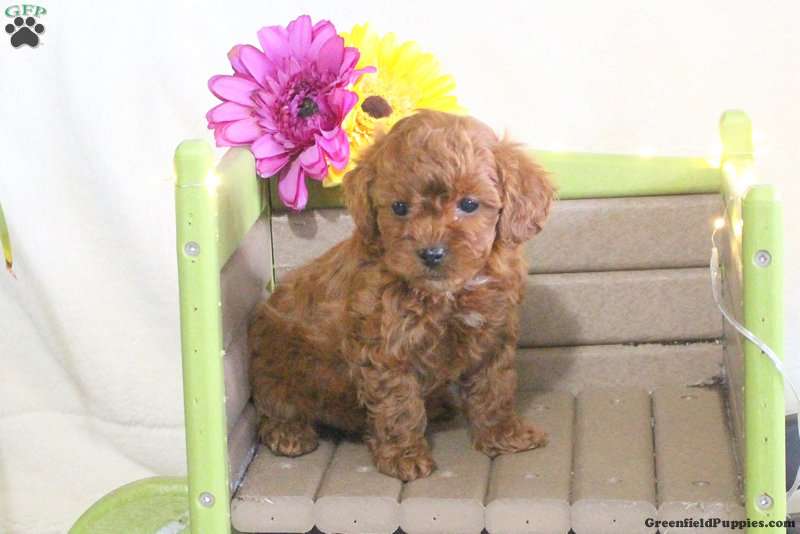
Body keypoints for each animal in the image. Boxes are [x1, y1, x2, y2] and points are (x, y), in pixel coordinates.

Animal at [250, 109, 556, 482]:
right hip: (279, 361)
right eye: (398, 207)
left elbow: (495, 387)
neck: (448, 292)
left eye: (469, 204)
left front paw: (504, 435)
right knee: (274, 404)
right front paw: (404, 457)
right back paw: (289, 432)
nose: (431, 253)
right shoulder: (386, 349)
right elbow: (399, 406)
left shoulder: (493, 334)